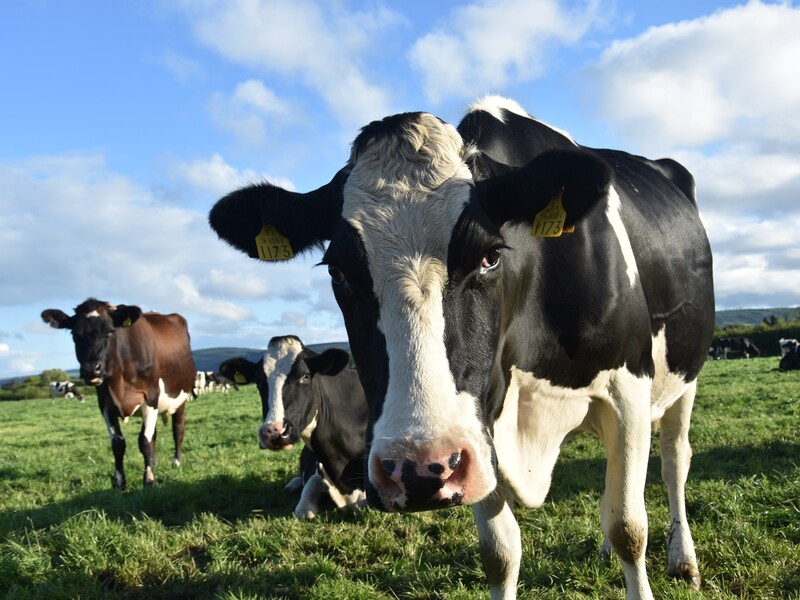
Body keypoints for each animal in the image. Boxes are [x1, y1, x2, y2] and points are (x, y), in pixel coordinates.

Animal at [41, 298, 195, 490]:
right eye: (75, 334)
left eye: (110, 331)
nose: (91, 369)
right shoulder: (105, 403)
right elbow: (118, 443)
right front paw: (119, 481)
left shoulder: (151, 396)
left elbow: (144, 441)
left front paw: (149, 479)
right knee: (154, 434)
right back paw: (154, 462)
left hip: (180, 398)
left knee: (177, 429)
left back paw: (176, 462)